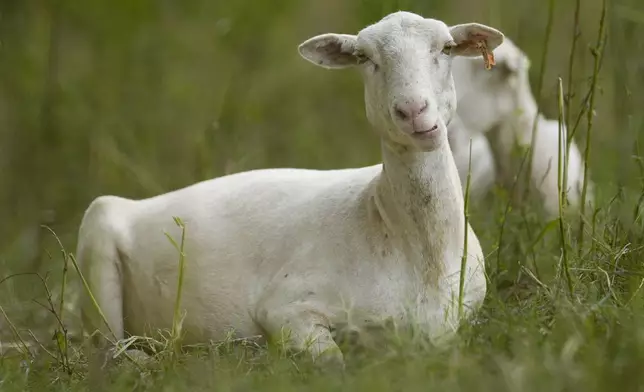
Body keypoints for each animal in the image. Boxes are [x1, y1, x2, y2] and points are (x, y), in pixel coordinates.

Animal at [75, 10, 506, 370]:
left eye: (446, 48)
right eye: (364, 58)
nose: (413, 111)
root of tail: (140, 203)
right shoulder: (285, 309)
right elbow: (333, 363)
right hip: (97, 245)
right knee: (110, 353)